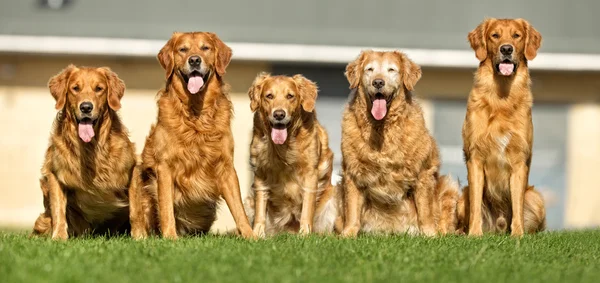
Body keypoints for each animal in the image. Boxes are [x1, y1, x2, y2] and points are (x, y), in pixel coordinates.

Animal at [31, 65, 135, 240]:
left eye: (99, 88)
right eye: (75, 88)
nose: (86, 107)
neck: (90, 148)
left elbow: (137, 210)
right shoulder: (54, 173)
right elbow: (58, 209)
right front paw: (59, 237)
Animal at [127, 31, 254, 240]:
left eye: (205, 48)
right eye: (183, 49)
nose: (194, 60)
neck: (196, 113)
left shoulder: (226, 166)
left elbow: (239, 210)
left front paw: (252, 237)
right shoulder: (164, 167)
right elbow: (166, 208)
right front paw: (170, 237)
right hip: (138, 176)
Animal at [243, 73, 338, 237]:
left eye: (290, 96)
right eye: (269, 96)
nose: (279, 114)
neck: (283, 146)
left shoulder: (310, 174)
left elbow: (307, 208)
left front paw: (305, 234)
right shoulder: (260, 173)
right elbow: (260, 209)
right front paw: (257, 235)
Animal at [338, 51, 460, 237]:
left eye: (391, 70)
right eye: (369, 69)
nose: (378, 82)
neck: (381, 128)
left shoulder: (423, 172)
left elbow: (425, 210)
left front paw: (430, 235)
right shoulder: (352, 172)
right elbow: (352, 210)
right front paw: (348, 234)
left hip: (449, 187)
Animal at [458, 16, 548, 236]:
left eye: (516, 35)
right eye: (495, 35)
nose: (506, 49)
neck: (502, 97)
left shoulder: (519, 159)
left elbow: (517, 204)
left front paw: (518, 235)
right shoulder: (475, 157)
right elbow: (475, 205)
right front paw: (474, 234)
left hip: (536, 198)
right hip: (461, 197)